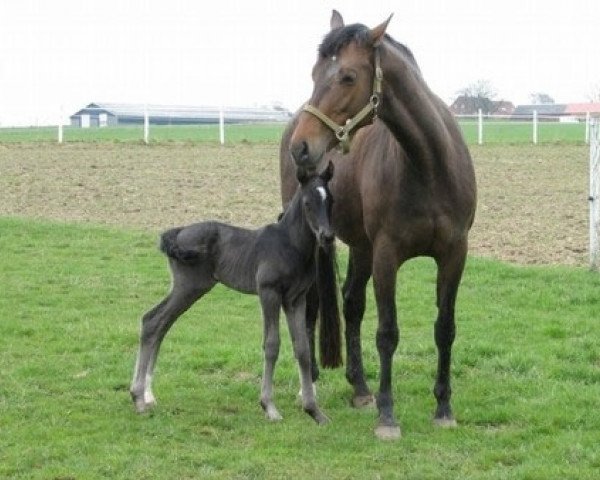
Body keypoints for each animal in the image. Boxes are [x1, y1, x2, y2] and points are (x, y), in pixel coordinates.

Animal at [130, 164, 338, 424]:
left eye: (330, 200)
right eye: (308, 202)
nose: (327, 236)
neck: (290, 245)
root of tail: (177, 233)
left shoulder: (295, 299)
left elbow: (302, 349)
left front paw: (314, 411)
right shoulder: (268, 292)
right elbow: (272, 344)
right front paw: (269, 407)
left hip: (189, 289)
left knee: (157, 323)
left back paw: (145, 395)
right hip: (188, 286)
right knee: (153, 321)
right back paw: (139, 397)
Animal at [278, 11, 476, 438]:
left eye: (348, 76)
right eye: (314, 72)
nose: (302, 147)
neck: (428, 166)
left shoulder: (454, 254)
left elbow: (445, 328)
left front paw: (443, 407)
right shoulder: (388, 254)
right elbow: (387, 332)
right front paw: (387, 415)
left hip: (360, 247)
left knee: (351, 304)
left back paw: (360, 388)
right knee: (312, 305)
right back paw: (312, 378)